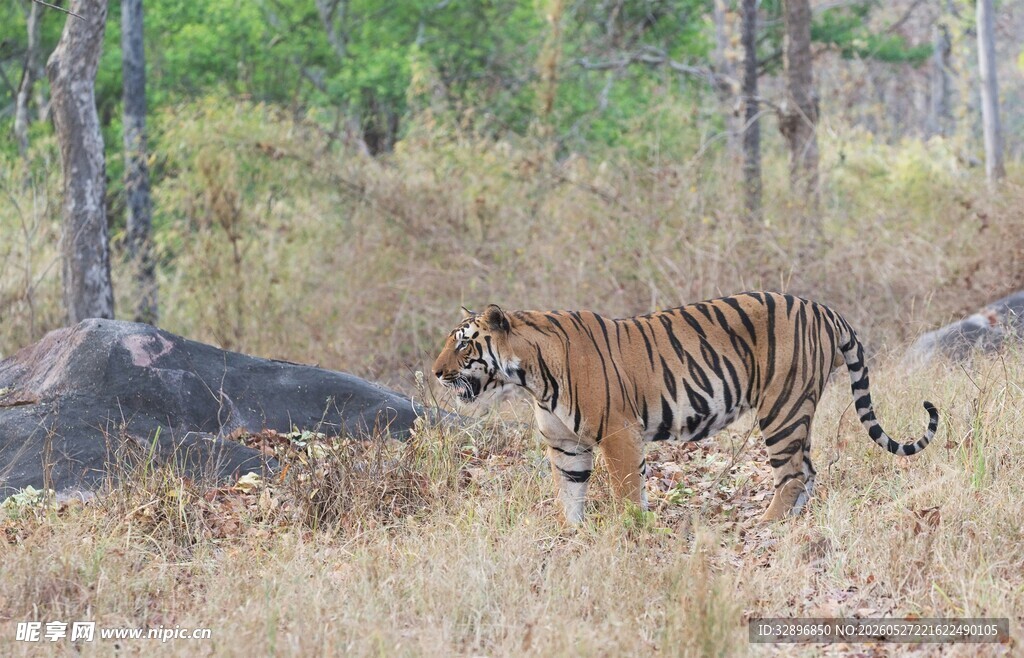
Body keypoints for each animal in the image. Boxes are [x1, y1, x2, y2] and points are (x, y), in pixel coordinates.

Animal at [431, 292, 938, 524]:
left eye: (463, 345)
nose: (435, 373)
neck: (532, 377)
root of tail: (825, 309)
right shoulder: (566, 445)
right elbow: (570, 494)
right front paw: (572, 533)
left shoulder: (617, 432)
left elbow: (626, 489)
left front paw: (632, 529)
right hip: (795, 411)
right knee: (808, 472)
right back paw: (792, 521)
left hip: (782, 408)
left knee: (794, 473)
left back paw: (769, 524)